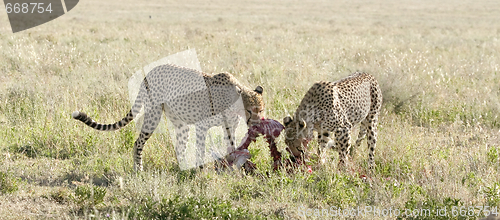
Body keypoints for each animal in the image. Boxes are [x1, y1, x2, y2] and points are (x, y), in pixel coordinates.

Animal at [73, 62, 266, 171]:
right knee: (138, 142)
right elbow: (201, 149)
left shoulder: (229, 128)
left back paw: (183, 169)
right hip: (153, 114)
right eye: (250, 110)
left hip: (181, 123)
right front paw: (203, 171)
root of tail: (151, 71)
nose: (257, 122)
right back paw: (138, 169)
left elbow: (232, 148)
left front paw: (235, 169)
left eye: (262, 110)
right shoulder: (202, 125)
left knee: (179, 147)